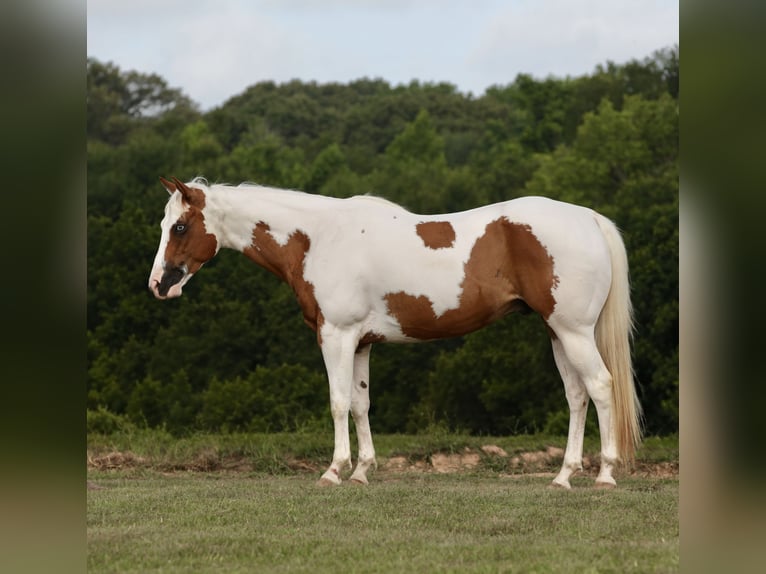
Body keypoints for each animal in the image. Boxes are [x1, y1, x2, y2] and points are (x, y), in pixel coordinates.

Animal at [148, 176, 642, 489]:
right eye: (165, 225)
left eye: (180, 226)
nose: (158, 284)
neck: (317, 238)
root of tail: (588, 218)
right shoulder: (362, 343)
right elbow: (361, 404)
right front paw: (362, 471)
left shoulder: (336, 335)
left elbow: (338, 402)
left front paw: (333, 471)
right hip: (558, 333)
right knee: (576, 396)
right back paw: (563, 477)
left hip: (574, 331)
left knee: (600, 387)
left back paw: (604, 475)